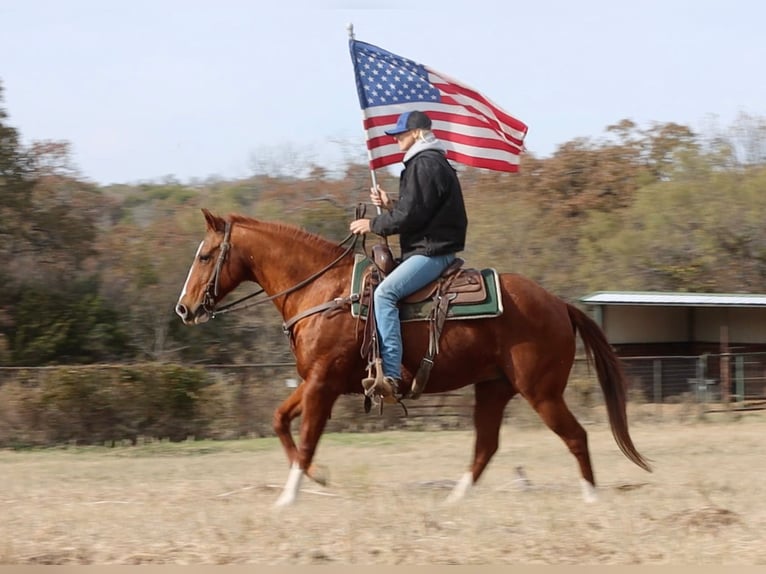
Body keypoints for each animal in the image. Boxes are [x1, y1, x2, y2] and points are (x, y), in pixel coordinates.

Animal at [175, 208, 651, 506]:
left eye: (205, 255)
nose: (184, 308)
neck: (324, 292)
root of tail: (558, 304)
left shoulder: (323, 385)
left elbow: (307, 438)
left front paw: (288, 497)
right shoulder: (315, 382)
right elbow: (279, 422)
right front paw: (315, 478)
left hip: (541, 392)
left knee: (575, 436)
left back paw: (590, 496)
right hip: (493, 389)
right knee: (486, 447)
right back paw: (454, 500)